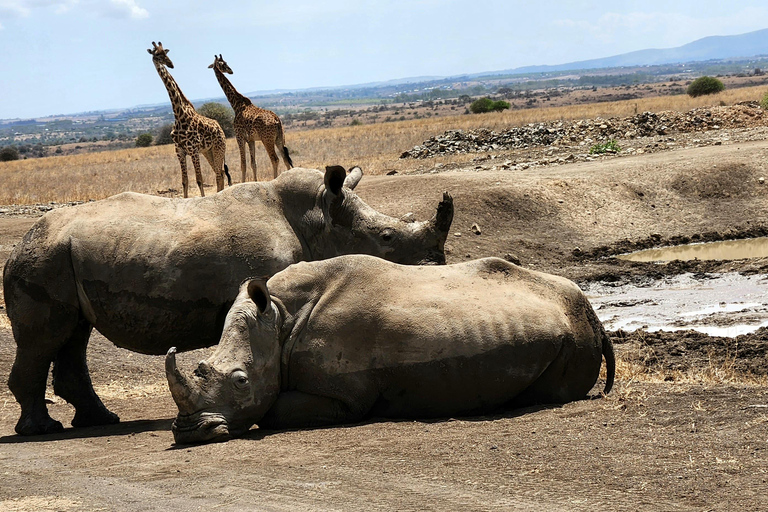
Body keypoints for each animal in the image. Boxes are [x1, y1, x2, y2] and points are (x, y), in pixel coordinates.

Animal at [148, 41, 230, 198]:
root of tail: (220, 128)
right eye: (157, 54)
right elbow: (184, 181)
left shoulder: (193, 150)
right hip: (208, 151)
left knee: (219, 173)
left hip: (219, 148)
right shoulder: (179, 151)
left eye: (166, 53)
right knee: (220, 173)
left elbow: (199, 180)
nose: (171, 64)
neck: (179, 115)